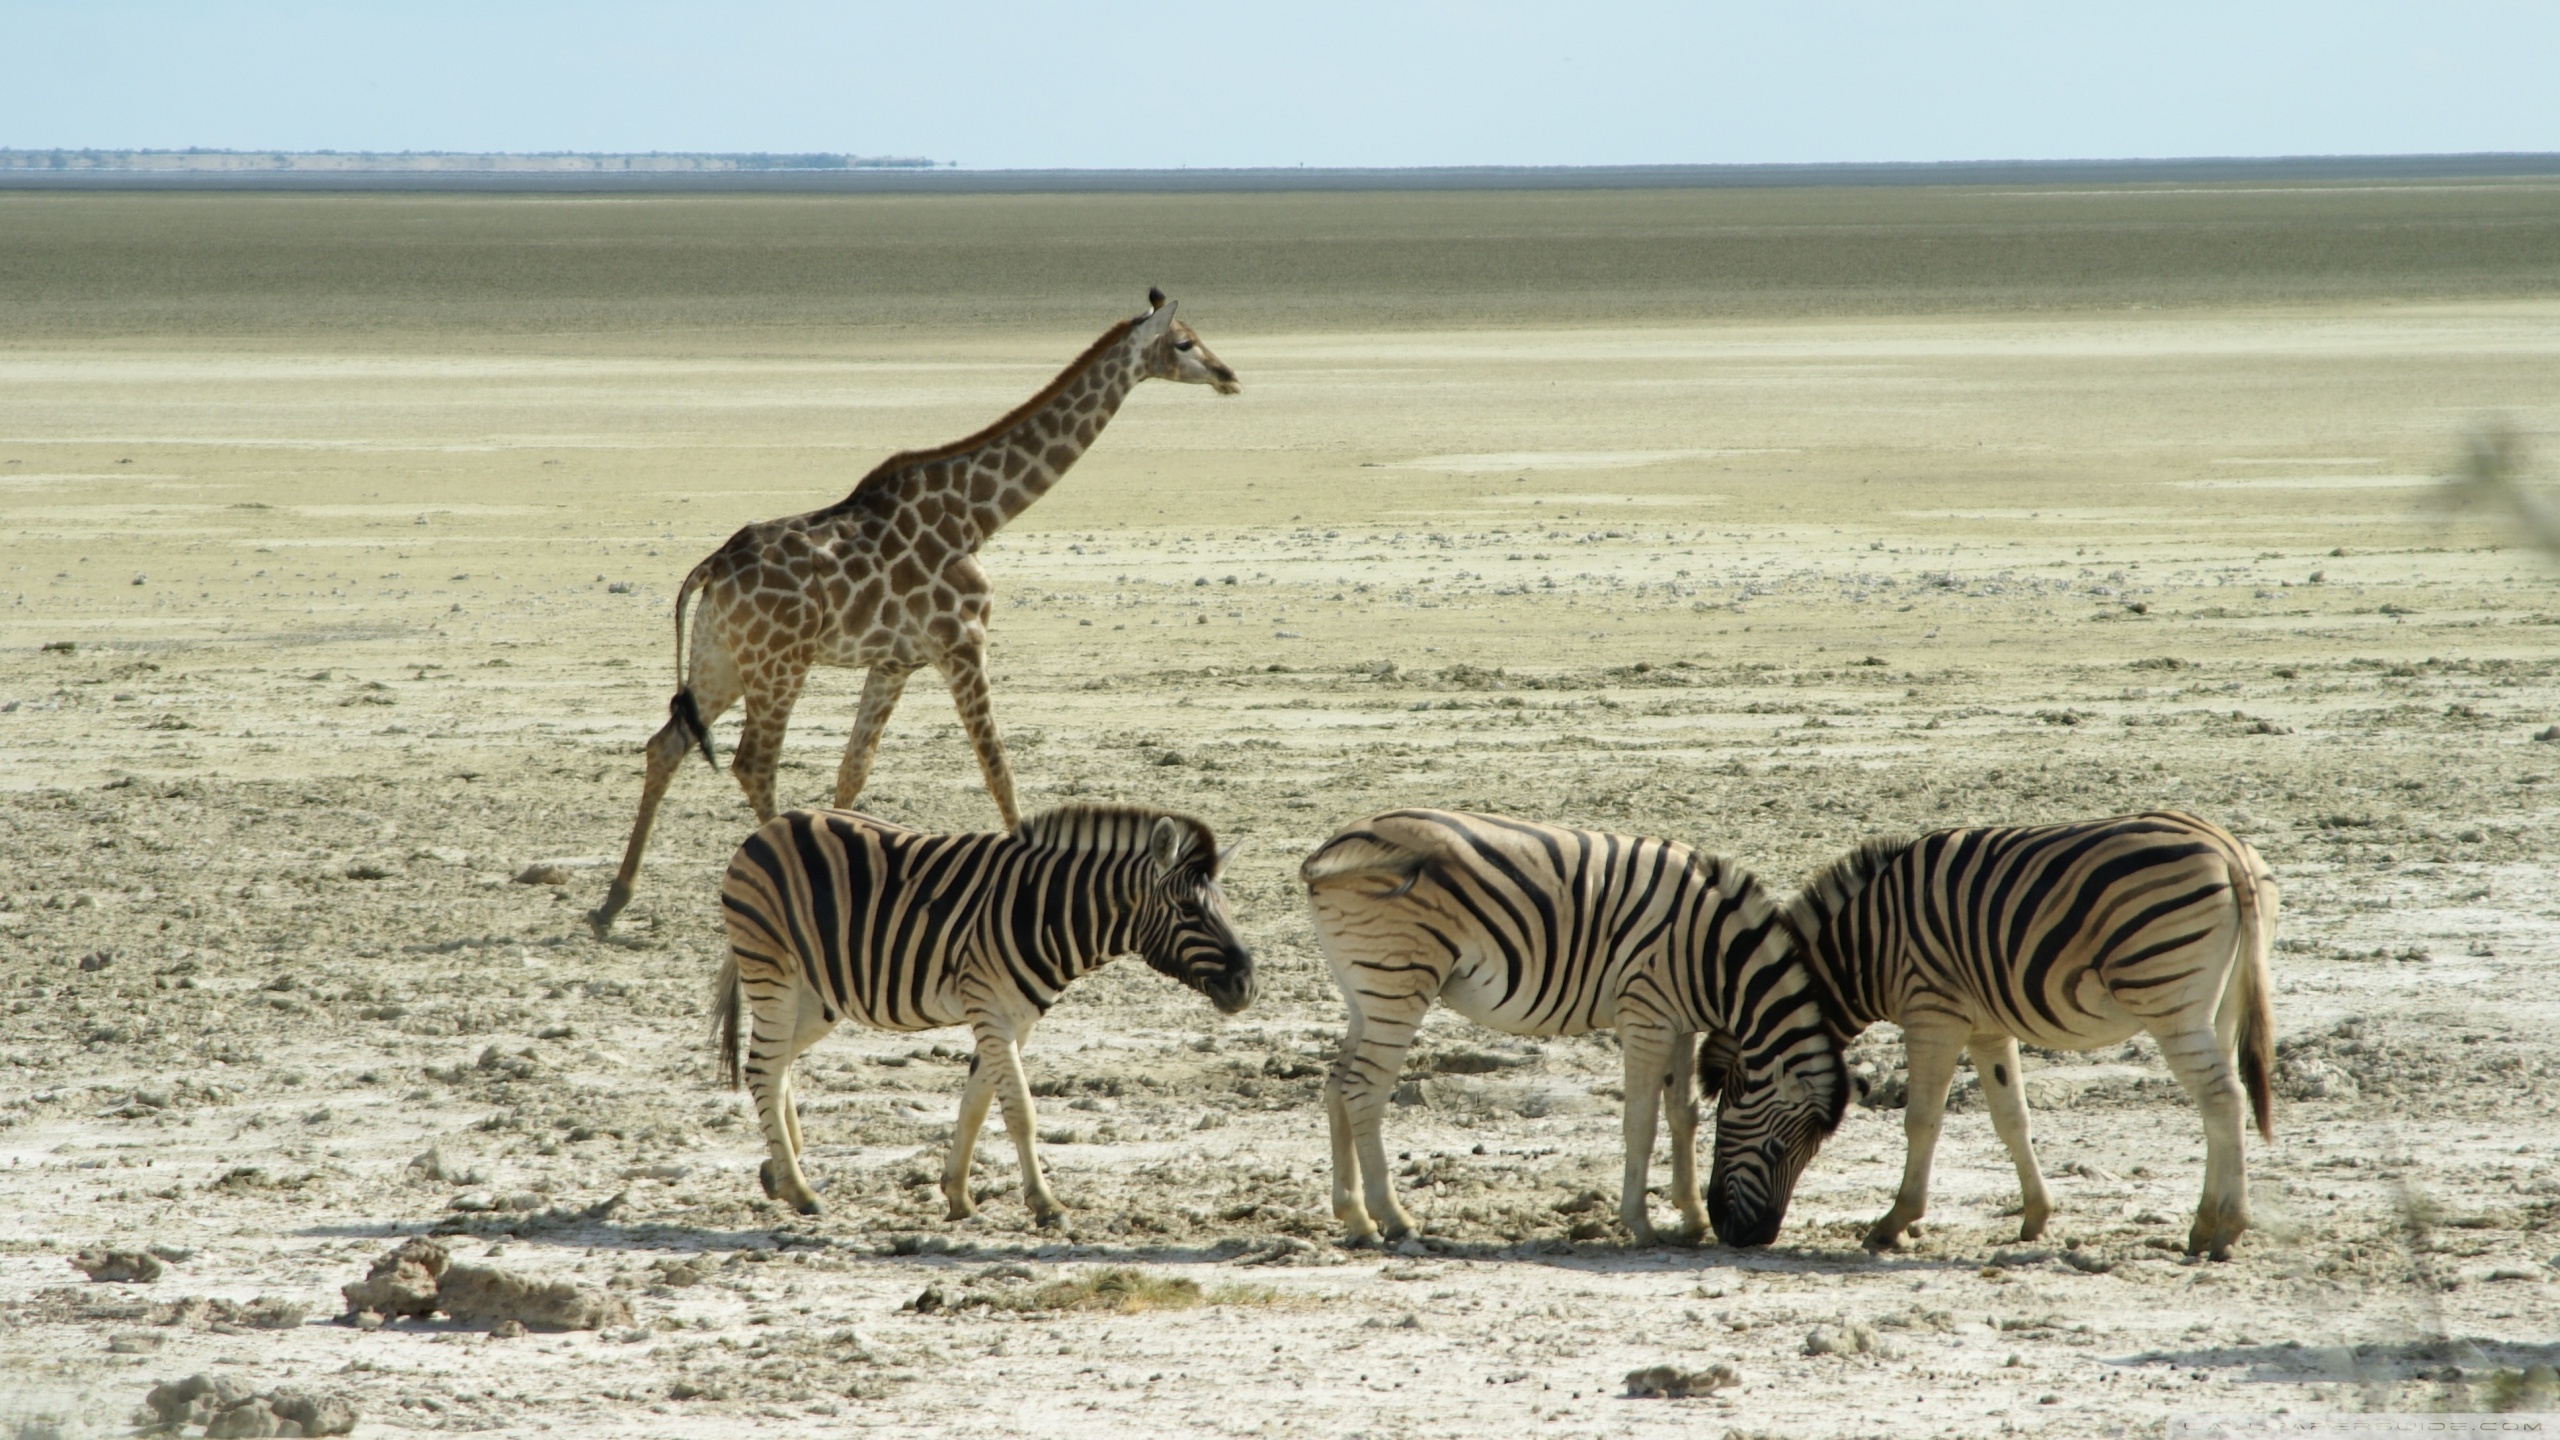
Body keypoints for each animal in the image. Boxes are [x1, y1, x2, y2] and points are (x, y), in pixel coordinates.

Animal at [593, 294, 1244, 942]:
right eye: (1184, 342)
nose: (1229, 376)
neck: (976, 517)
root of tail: (712, 567)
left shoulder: (894, 663)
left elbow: (853, 771)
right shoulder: (962, 645)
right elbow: (998, 769)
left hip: (721, 659)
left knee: (667, 744)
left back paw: (613, 903)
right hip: (780, 664)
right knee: (753, 764)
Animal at [711, 799, 1249, 1214]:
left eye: (1227, 908)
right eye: (1188, 910)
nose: (1248, 986)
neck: (1046, 911)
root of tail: (772, 825)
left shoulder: (1016, 1019)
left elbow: (977, 1104)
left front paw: (957, 1196)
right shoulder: (989, 1009)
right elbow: (1021, 1112)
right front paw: (1045, 1204)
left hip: (819, 994)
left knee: (776, 1063)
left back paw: (780, 1169)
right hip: (773, 968)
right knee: (764, 1069)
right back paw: (800, 1190)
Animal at [1300, 809, 1843, 1245]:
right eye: (1777, 1149)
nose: (1756, 1238)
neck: (1715, 955)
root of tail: (1331, 846)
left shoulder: (1679, 1024)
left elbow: (1683, 1114)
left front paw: (1691, 1219)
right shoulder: (1645, 1015)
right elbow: (1641, 1120)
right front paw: (1641, 1224)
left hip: (1364, 992)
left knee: (1336, 1086)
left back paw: (1354, 1217)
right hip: (1399, 981)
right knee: (1363, 1092)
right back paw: (1394, 1220)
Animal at [1740, 809, 2283, 1255]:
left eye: (1774, 1147)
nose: (1744, 1236)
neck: (1869, 944)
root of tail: (2227, 849)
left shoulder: (1932, 1013)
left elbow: (1921, 1121)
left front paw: (1894, 1223)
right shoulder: (1987, 1029)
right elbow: (2012, 1119)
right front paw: (2036, 1216)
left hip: (2167, 998)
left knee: (2223, 1097)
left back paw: (2228, 1228)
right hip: (2218, 1003)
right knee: (2216, 1104)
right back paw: (2203, 1226)